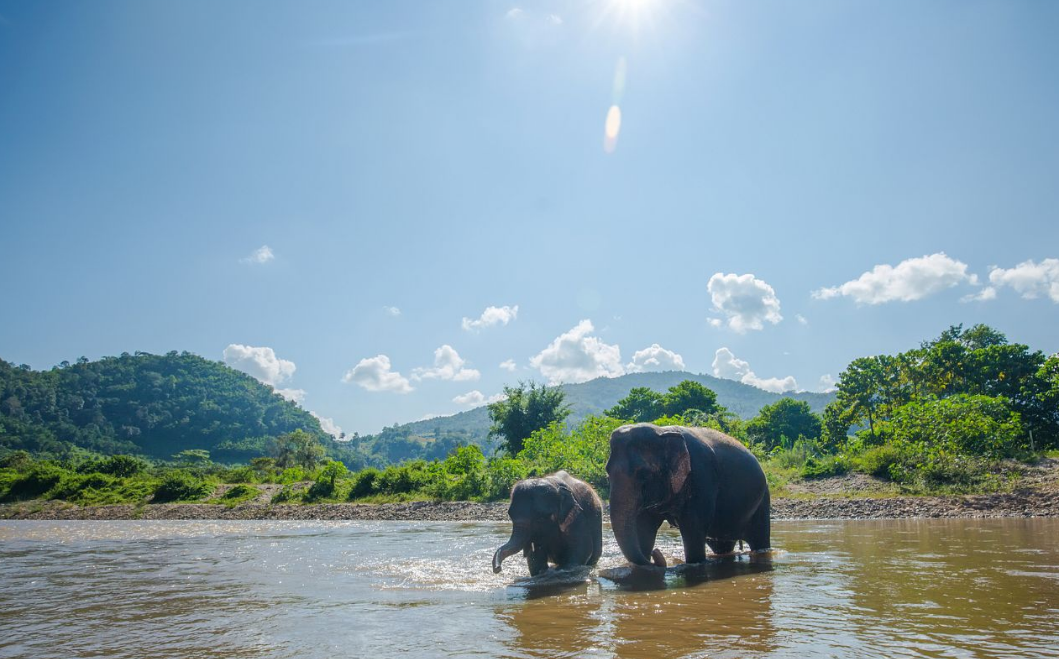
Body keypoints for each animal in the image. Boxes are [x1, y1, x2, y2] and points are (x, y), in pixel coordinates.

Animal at [606, 423, 771, 567]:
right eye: (608, 472)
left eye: (643, 474)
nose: (655, 554)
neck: (662, 432)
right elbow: (644, 526)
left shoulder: (702, 476)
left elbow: (693, 526)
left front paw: (694, 563)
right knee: (722, 546)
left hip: (763, 499)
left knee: (759, 539)